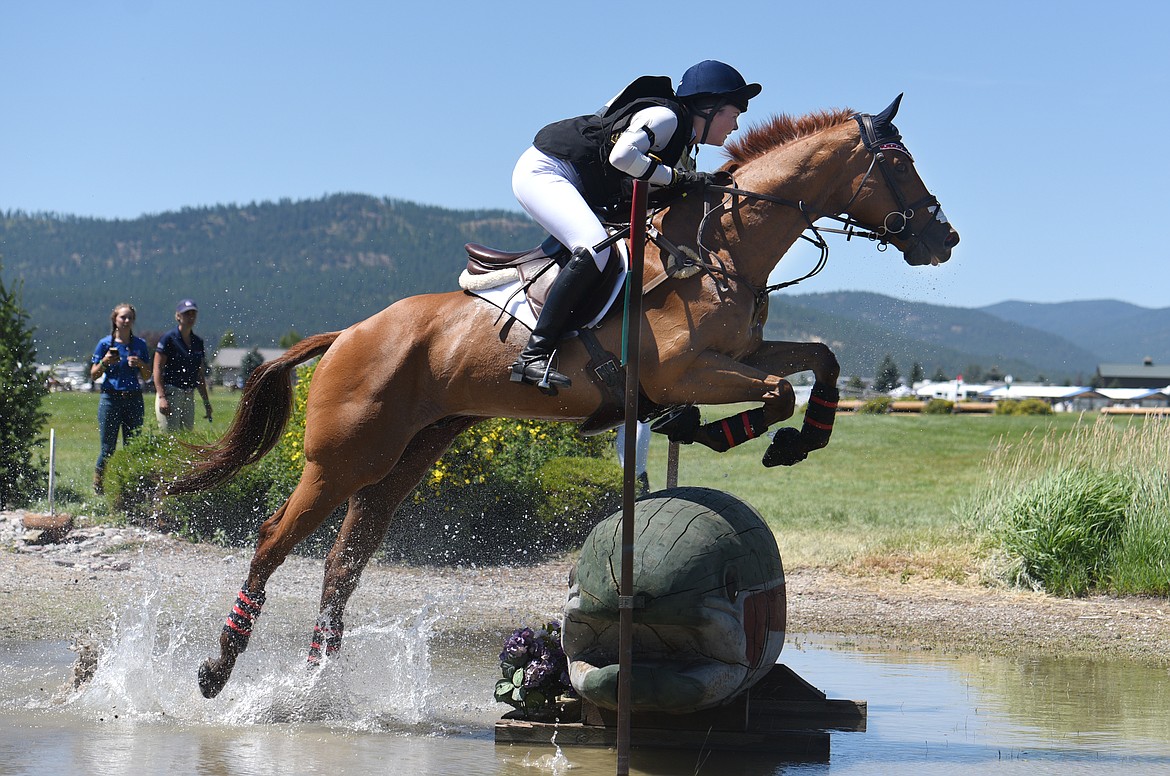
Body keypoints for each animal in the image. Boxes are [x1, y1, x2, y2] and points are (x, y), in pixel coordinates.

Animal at [175, 95, 959, 697]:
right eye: (897, 164)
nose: (943, 238)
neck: (722, 248)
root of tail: (349, 334)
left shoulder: (736, 355)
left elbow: (815, 365)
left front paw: (796, 442)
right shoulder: (687, 369)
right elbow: (773, 394)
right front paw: (717, 432)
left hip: (407, 455)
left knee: (345, 559)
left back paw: (319, 678)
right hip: (344, 457)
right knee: (273, 540)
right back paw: (217, 669)